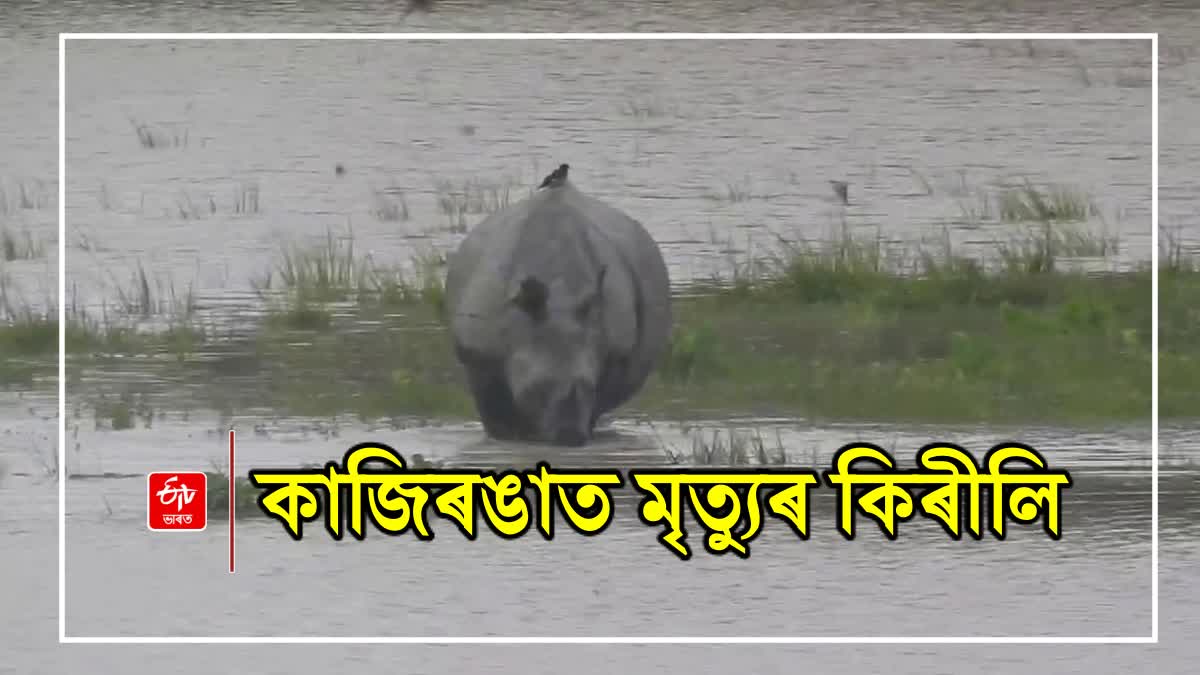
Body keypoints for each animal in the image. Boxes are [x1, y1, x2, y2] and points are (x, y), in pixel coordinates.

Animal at [443, 166, 671, 446]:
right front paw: (506, 437)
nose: (569, 437)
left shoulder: (615, 354)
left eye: (589, 386)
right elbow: (492, 407)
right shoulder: (478, 353)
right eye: (536, 389)